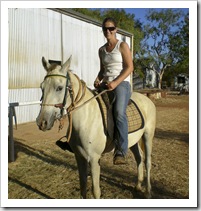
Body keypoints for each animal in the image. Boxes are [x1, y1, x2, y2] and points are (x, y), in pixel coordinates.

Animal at [37, 55, 157, 198]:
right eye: (42, 87)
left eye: (59, 88)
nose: (41, 122)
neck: (86, 118)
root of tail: (147, 99)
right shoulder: (79, 157)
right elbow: (83, 186)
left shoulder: (94, 159)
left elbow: (96, 191)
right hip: (132, 141)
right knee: (139, 158)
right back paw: (138, 186)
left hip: (148, 136)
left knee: (147, 162)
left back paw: (148, 191)